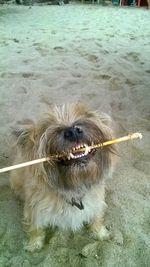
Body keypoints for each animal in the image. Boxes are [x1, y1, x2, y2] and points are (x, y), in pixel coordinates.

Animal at [10, 103, 116, 252]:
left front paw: (100, 233)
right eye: (46, 126)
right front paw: (34, 245)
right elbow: (35, 229)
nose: (72, 131)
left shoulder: (96, 204)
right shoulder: (34, 210)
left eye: (85, 114)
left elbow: (96, 219)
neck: (74, 188)